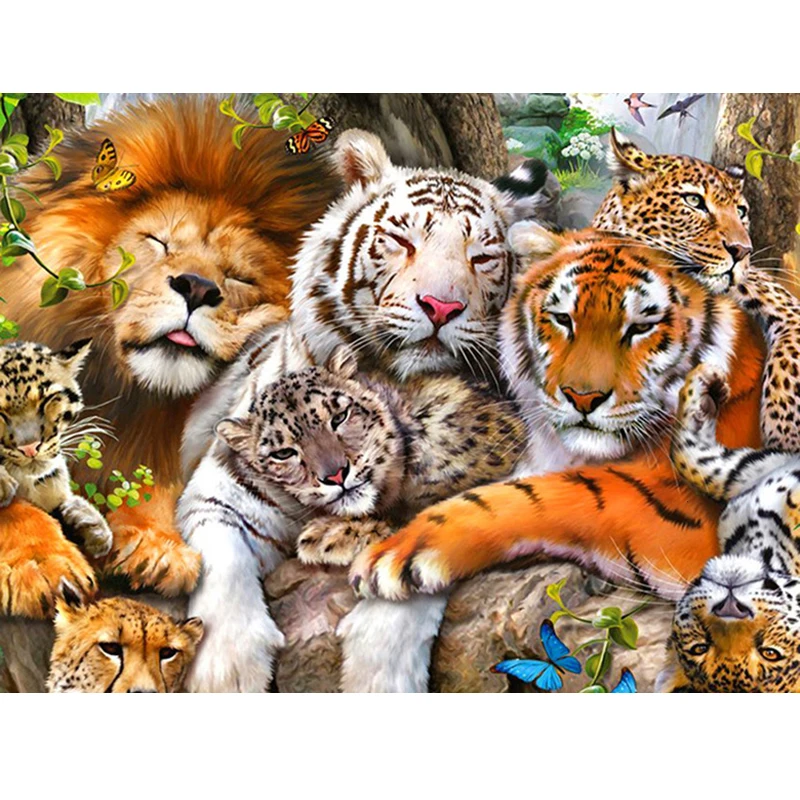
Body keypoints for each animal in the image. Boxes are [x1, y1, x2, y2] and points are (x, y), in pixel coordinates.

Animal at [178, 129, 549, 692]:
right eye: (401, 240)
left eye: (482, 256)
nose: (441, 307)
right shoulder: (219, 490)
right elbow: (219, 562)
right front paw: (225, 671)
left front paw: (379, 670)